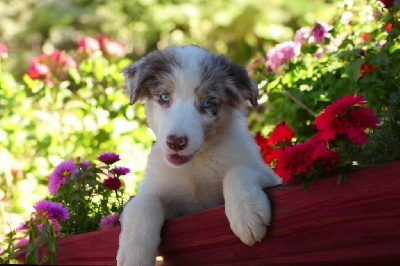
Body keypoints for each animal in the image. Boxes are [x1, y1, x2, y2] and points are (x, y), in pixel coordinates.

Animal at [116, 44, 282, 264]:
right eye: (164, 97)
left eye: (208, 103)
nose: (176, 142)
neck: (194, 165)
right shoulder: (160, 196)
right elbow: (142, 202)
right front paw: (134, 257)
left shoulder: (271, 176)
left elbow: (238, 171)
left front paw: (247, 213)